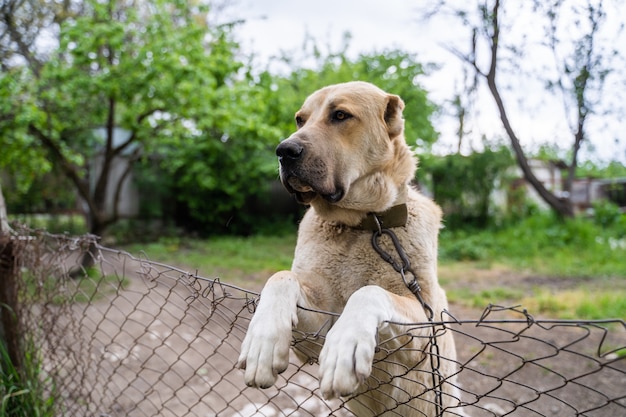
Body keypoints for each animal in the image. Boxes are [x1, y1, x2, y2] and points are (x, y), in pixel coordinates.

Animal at [236, 81, 456, 416]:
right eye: (300, 120)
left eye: (340, 115)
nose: (284, 150)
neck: (363, 225)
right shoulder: (315, 330)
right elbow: (281, 277)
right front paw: (263, 341)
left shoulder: (426, 323)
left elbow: (369, 291)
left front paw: (344, 345)